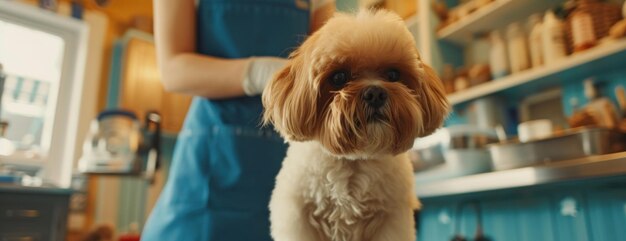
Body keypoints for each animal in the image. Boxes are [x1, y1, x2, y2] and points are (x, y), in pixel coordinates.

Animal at [262, 9, 448, 241]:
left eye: (393, 74)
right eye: (339, 77)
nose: (375, 93)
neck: (354, 159)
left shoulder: (391, 220)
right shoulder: (297, 218)